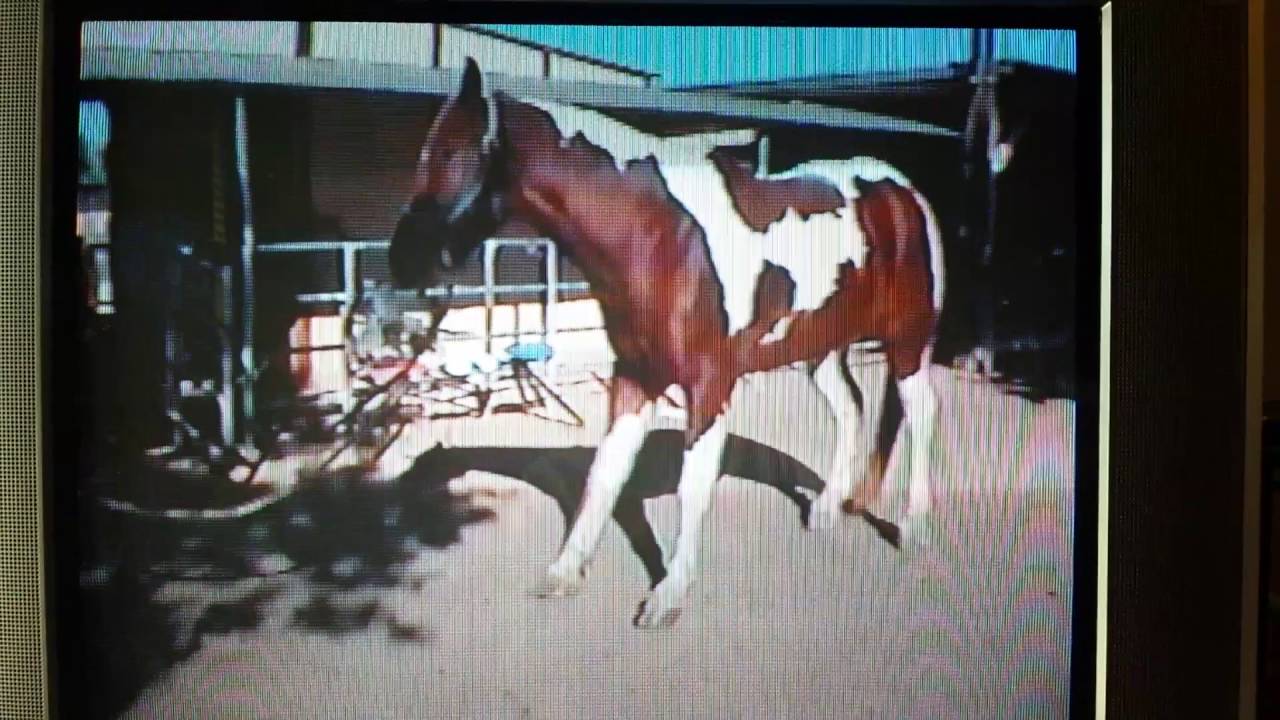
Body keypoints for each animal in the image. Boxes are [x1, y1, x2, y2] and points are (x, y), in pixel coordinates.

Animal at [389, 58, 945, 628]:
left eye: (451, 152)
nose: (400, 260)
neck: (661, 237)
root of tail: (901, 192)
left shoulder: (709, 385)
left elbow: (692, 486)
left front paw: (668, 593)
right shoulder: (635, 377)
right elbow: (604, 474)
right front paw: (565, 572)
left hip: (909, 340)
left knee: (921, 412)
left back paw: (913, 529)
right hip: (820, 347)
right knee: (850, 408)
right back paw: (828, 510)